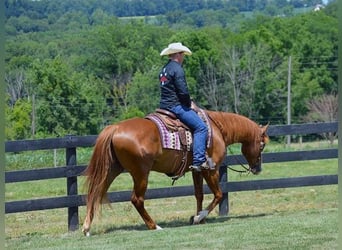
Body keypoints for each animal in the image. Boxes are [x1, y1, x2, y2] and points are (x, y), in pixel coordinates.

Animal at [81, 110, 268, 235]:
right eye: (262, 145)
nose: (257, 169)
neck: (216, 130)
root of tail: (115, 127)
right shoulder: (211, 169)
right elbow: (218, 195)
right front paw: (199, 217)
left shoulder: (197, 170)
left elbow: (199, 194)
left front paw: (199, 218)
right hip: (141, 173)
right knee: (136, 199)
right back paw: (154, 226)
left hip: (111, 170)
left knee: (95, 192)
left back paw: (87, 228)